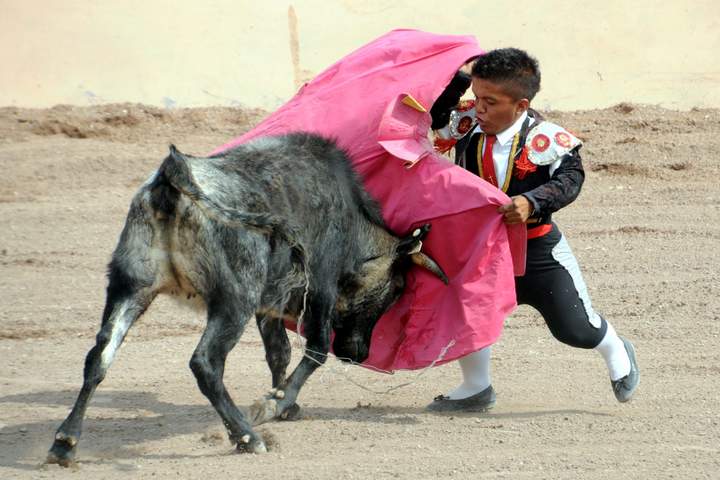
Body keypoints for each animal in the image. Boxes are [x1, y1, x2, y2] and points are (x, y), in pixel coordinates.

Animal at [46, 132, 444, 464]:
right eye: (396, 288)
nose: (357, 354)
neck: (349, 222)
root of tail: (173, 175)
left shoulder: (271, 302)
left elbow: (279, 352)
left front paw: (283, 401)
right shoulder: (320, 287)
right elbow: (314, 350)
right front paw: (275, 405)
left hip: (129, 287)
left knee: (98, 357)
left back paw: (64, 442)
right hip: (233, 300)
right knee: (205, 363)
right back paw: (247, 437)